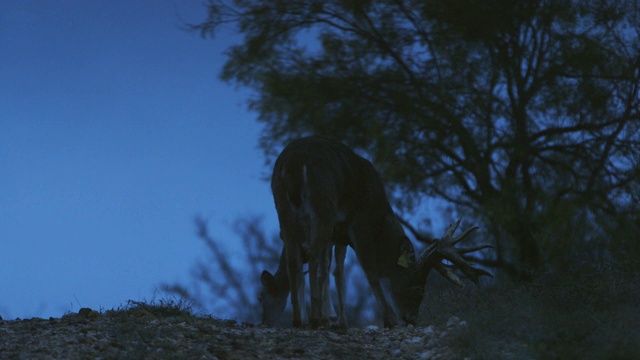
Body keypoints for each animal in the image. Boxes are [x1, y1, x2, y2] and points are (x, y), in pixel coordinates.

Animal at [262, 136, 492, 330]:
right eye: (417, 288)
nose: (411, 319)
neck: (379, 214)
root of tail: (292, 164)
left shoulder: (339, 234)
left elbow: (335, 271)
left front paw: (339, 320)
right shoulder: (359, 223)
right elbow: (369, 270)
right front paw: (389, 319)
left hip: (284, 211)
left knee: (295, 260)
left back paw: (299, 320)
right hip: (322, 206)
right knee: (313, 256)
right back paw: (315, 319)